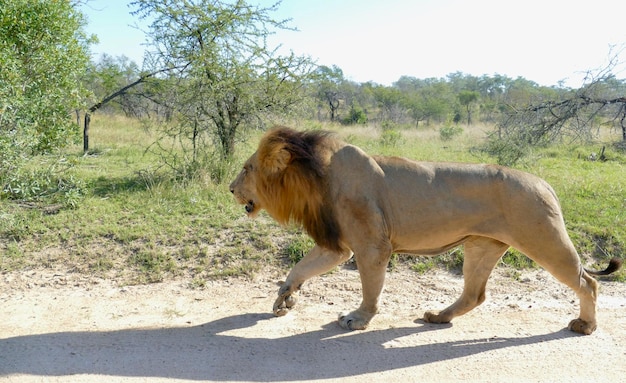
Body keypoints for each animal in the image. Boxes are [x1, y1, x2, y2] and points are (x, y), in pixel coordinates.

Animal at [229, 127, 620, 334]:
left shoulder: (370, 245)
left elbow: (370, 287)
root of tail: (545, 182)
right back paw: (438, 317)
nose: (231, 189)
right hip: (482, 245)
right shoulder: (336, 244)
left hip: (544, 239)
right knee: (474, 294)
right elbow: (301, 268)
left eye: (247, 169)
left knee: (589, 282)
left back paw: (585, 325)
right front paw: (284, 297)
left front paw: (359, 318)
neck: (316, 173)